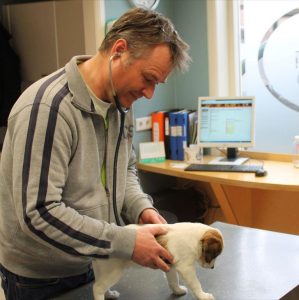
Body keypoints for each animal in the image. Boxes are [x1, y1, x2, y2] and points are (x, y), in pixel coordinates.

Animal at [92, 221, 224, 300]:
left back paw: (110, 294)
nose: (212, 267)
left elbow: (173, 281)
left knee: (101, 285)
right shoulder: (186, 269)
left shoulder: (170, 266)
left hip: (103, 272)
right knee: (97, 287)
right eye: (214, 255)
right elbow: (196, 283)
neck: (194, 238)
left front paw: (178, 291)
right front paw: (203, 296)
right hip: (112, 272)